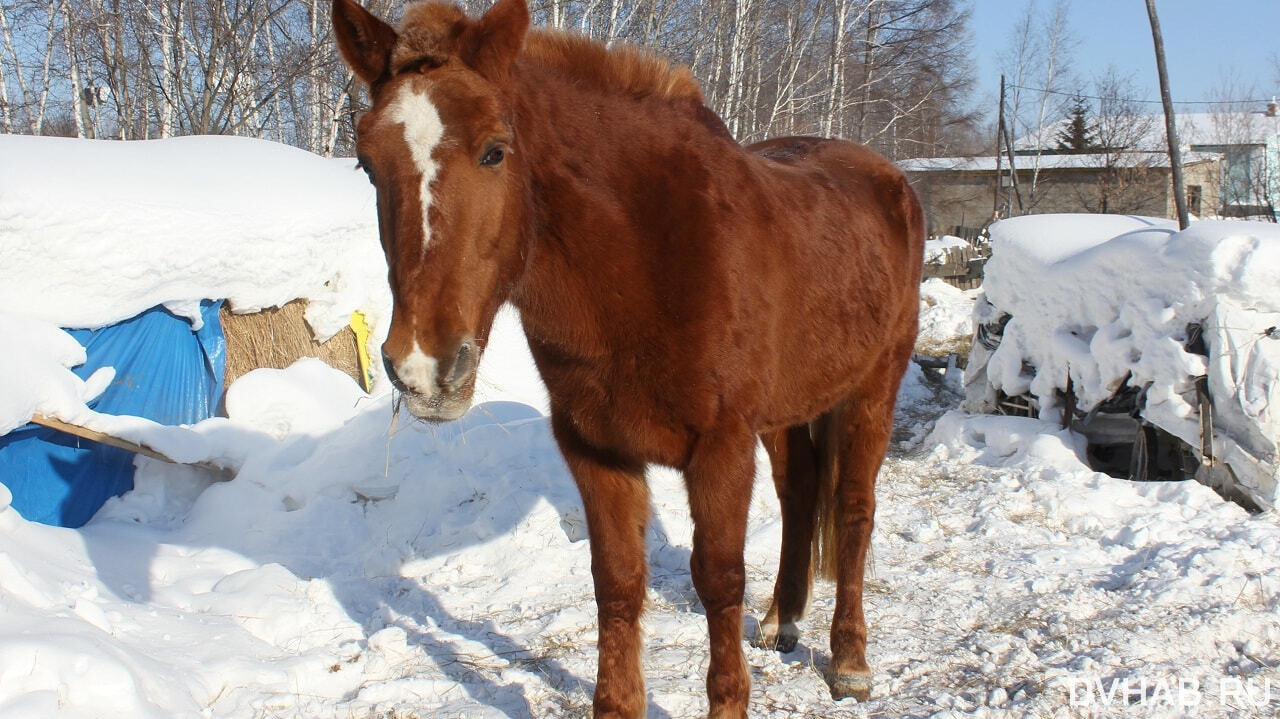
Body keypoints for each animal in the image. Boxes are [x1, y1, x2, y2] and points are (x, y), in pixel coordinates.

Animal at [335, 1, 926, 711]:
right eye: (368, 164)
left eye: (494, 151)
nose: (423, 368)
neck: (645, 261)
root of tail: (888, 179)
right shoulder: (596, 447)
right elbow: (615, 579)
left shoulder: (722, 448)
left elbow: (719, 578)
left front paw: (729, 700)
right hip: (789, 407)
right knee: (800, 493)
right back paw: (780, 620)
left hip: (872, 390)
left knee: (854, 511)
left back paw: (850, 659)